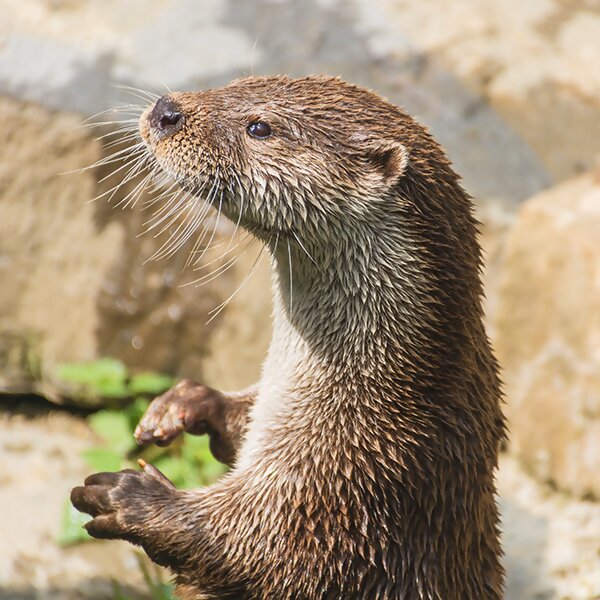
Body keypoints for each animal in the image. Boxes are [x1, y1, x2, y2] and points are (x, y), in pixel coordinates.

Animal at [71, 76, 506, 600]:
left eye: (259, 127)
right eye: (233, 83)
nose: (166, 111)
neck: (385, 385)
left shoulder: (357, 478)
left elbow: (265, 551)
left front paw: (129, 498)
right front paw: (185, 403)